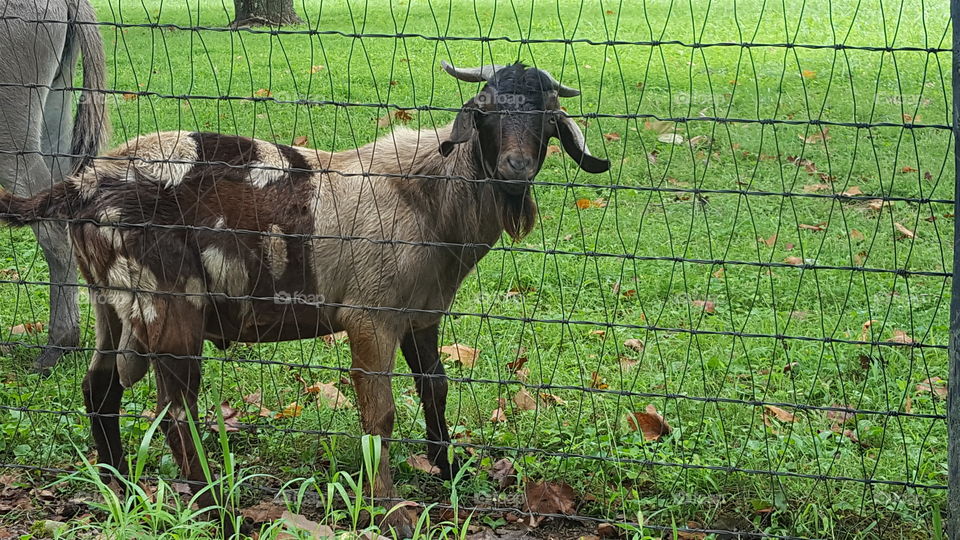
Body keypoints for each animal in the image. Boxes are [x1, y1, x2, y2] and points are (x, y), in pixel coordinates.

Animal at [0, 60, 609, 537]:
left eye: (547, 117)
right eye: (484, 110)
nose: (515, 168)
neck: (428, 193)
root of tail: (82, 184)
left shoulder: (421, 312)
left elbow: (435, 387)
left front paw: (449, 468)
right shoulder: (370, 315)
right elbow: (380, 413)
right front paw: (390, 512)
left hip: (110, 300)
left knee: (100, 389)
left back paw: (119, 490)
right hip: (167, 300)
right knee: (176, 411)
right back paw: (215, 511)